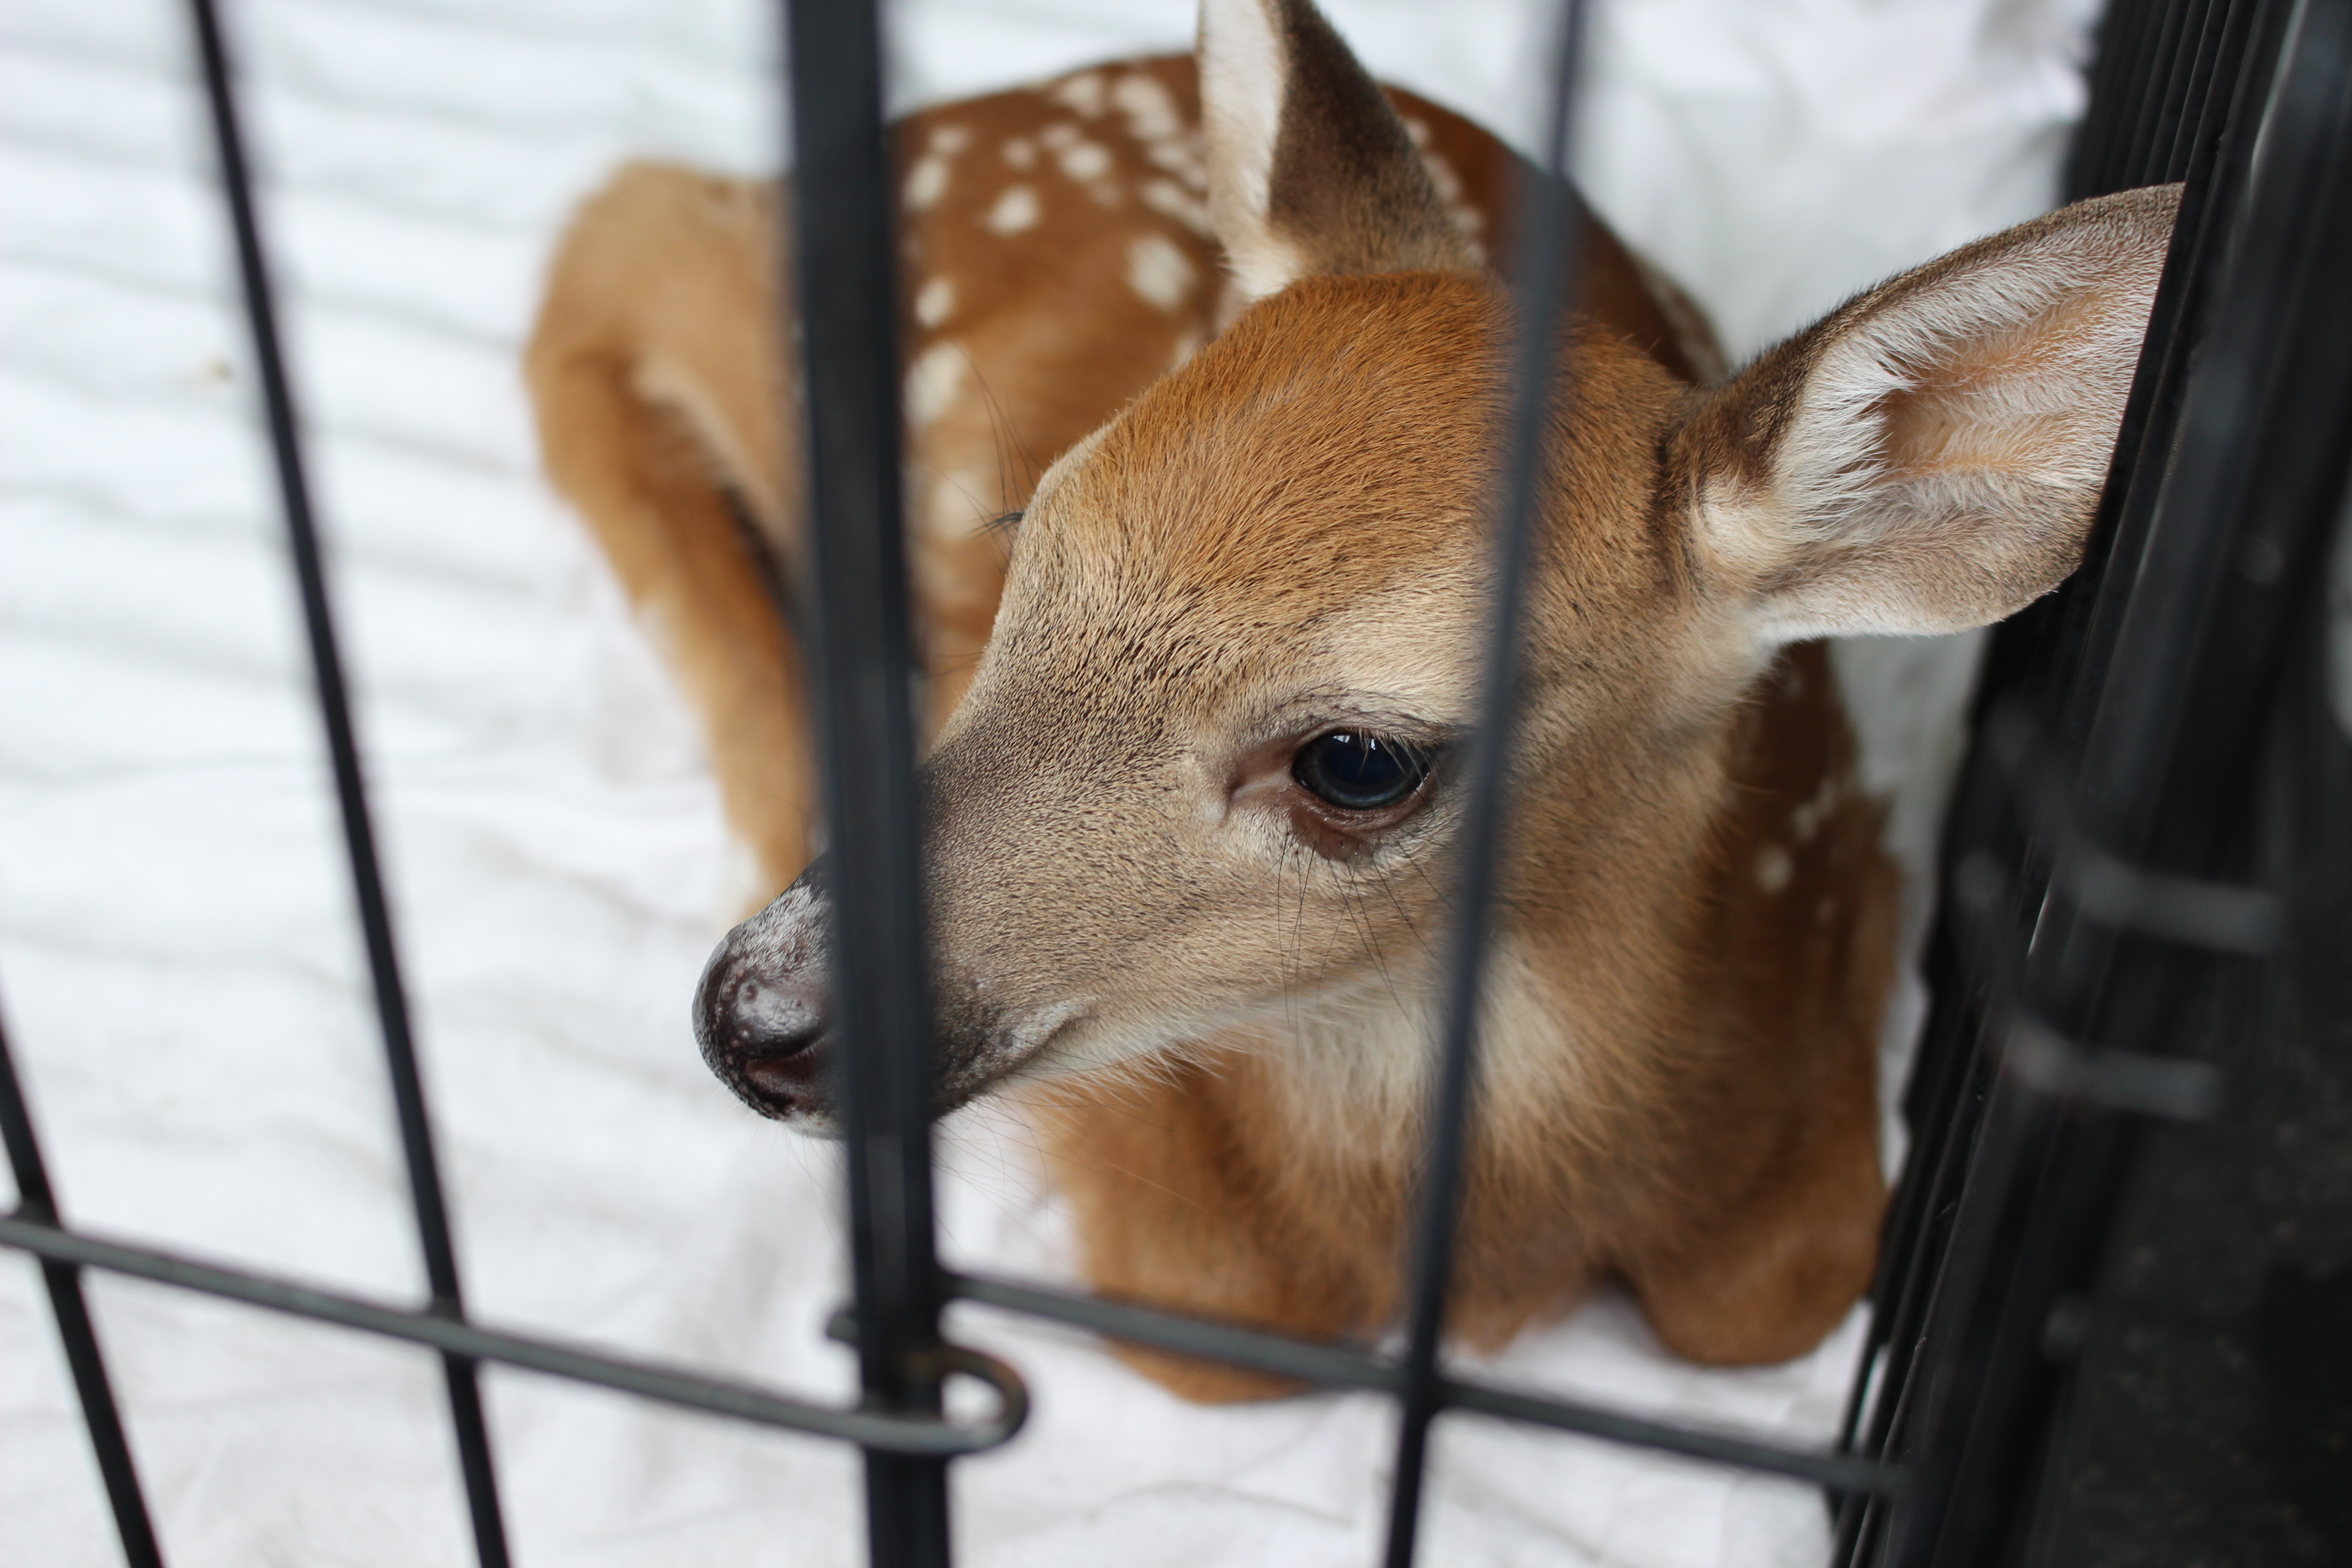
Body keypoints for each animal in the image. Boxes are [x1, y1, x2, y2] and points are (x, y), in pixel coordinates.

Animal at [529, 0, 2164, 1401]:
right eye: (1023, 543)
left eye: (1358, 761)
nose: (752, 1015)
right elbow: (1223, 1313)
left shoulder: (1830, 913)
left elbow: (1776, 1293)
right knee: (615, 239)